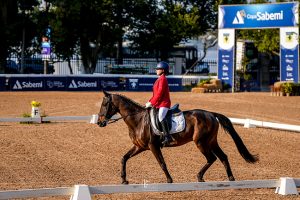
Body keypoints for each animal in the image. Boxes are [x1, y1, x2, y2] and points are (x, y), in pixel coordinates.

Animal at [96, 90, 258, 184]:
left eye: (104, 104)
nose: (99, 122)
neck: (138, 120)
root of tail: (211, 114)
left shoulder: (153, 146)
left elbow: (162, 163)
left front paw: (169, 179)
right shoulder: (139, 146)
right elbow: (124, 158)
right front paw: (124, 180)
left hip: (200, 142)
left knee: (211, 158)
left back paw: (200, 176)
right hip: (211, 141)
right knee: (223, 157)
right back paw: (231, 178)